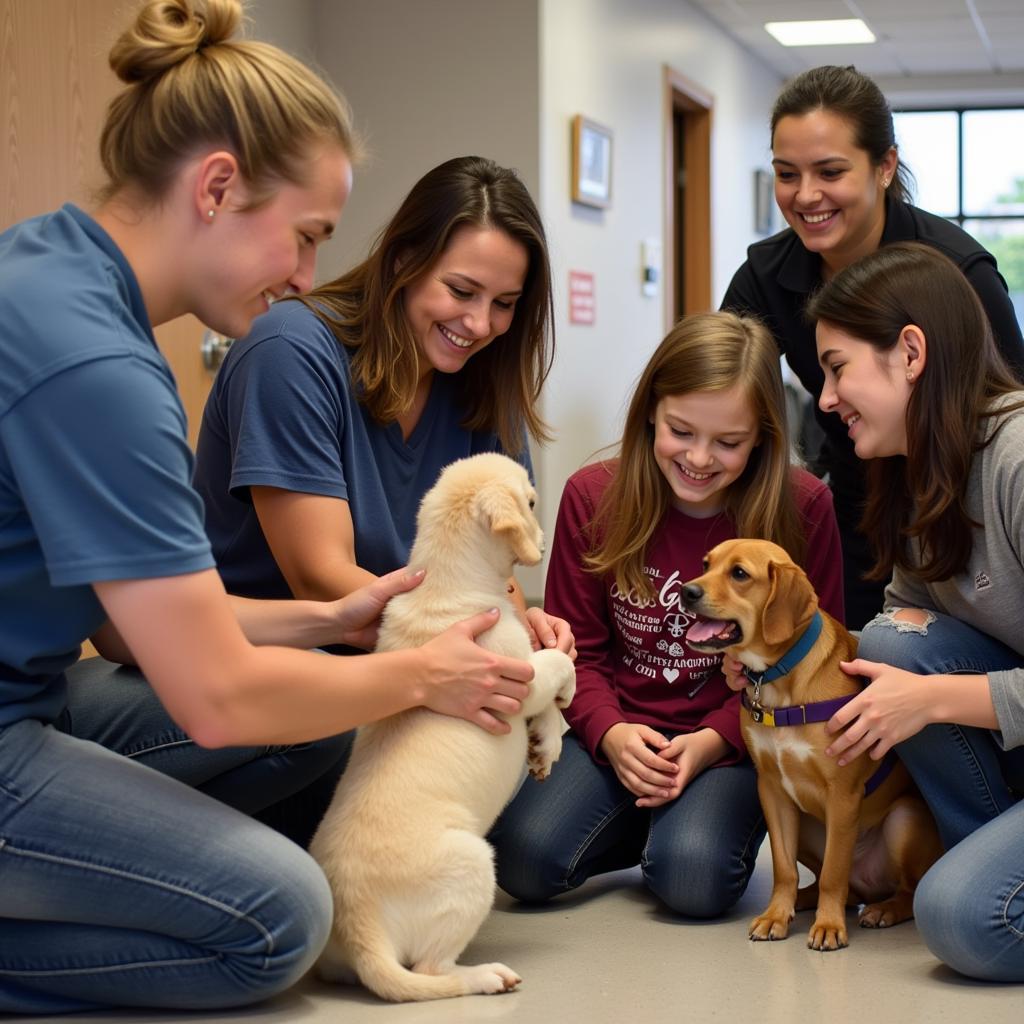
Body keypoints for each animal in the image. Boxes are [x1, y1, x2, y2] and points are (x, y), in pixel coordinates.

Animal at [307, 454, 573, 999]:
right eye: (532, 501)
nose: (543, 542)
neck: (446, 582)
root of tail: (361, 931)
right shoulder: (515, 675)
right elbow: (557, 663)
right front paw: (564, 702)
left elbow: (548, 687)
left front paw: (545, 745)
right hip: (474, 865)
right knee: (433, 970)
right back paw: (487, 976)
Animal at [679, 540, 942, 946]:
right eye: (706, 565)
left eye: (739, 573)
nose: (686, 592)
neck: (778, 680)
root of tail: (869, 883)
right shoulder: (772, 791)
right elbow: (784, 869)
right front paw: (776, 915)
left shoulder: (843, 795)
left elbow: (834, 871)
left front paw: (829, 926)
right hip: (804, 822)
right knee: (839, 887)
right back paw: (806, 899)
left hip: (905, 818)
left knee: (902, 889)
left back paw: (882, 910)